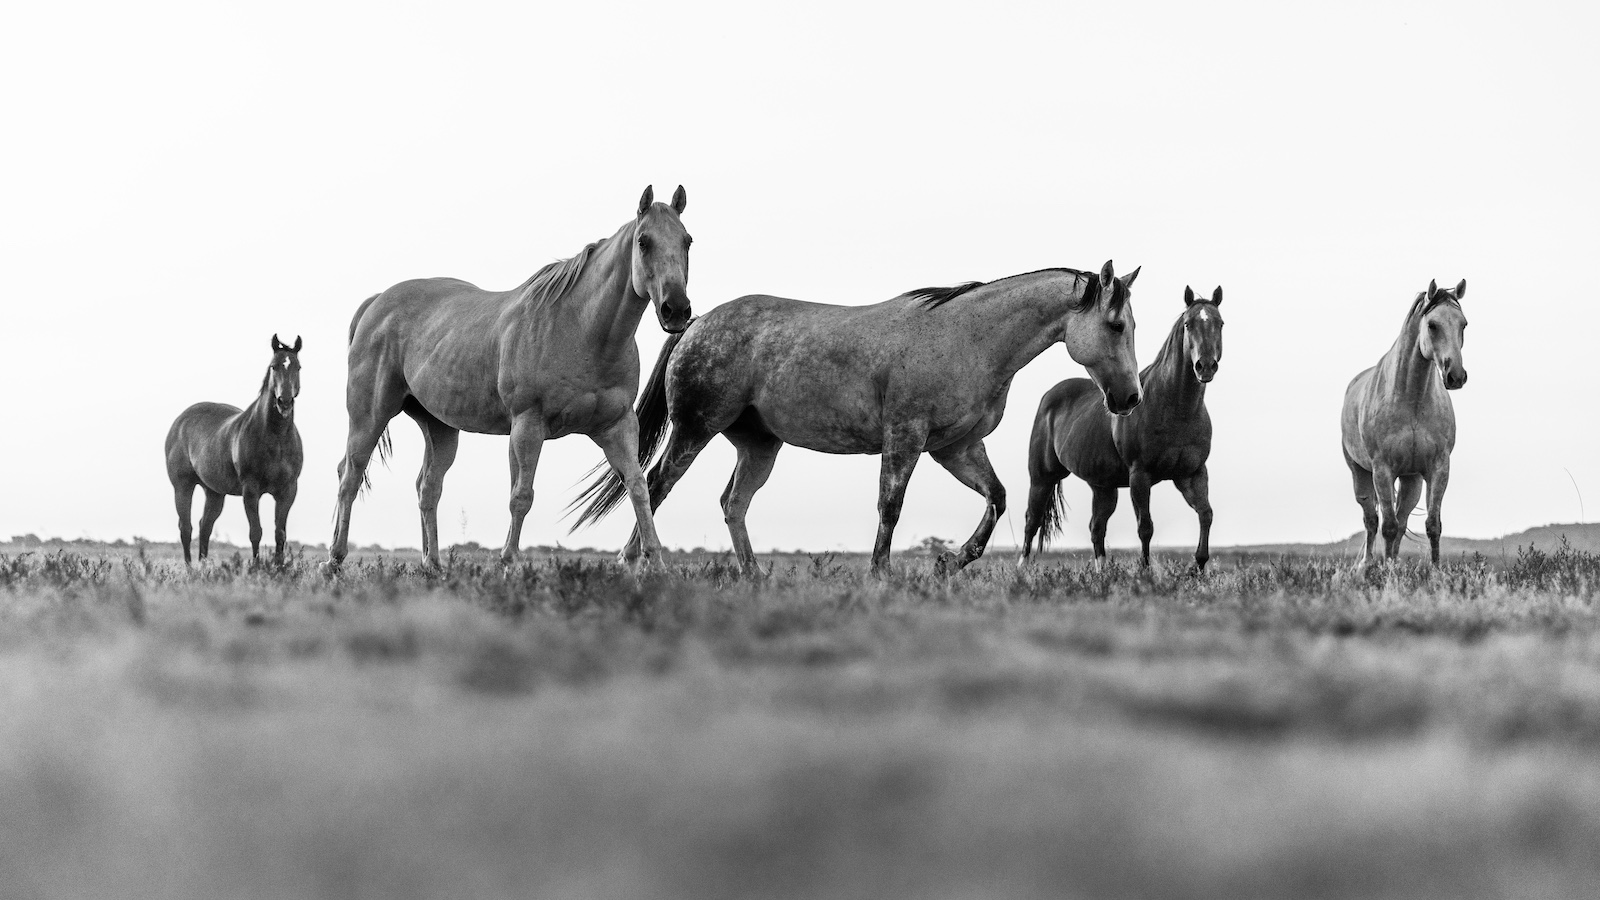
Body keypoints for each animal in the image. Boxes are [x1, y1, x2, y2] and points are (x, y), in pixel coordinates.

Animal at [165, 335, 304, 564]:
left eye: (298, 367)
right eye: (273, 366)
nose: (284, 402)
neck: (276, 437)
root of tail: (180, 421)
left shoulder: (288, 491)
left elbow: (280, 534)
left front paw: (278, 567)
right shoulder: (251, 490)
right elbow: (256, 532)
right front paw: (256, 567)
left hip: (214, 492)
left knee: (205, 526)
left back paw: (204, 566)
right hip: (183, 486)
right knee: (186, 528)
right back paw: (190, 568)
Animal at [328, 185, 693, 569]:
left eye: (687, 240)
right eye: (643, 241)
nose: (676, 309)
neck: (582, 329)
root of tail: (375, 303)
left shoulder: (617, 428)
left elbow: (638, 487)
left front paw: (655, 564)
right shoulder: (528, 426)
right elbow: (522, 495)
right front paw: (510, 562)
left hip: (439, 427)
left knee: (428, 488)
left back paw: (433, 566)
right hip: (370, 416)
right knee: (350, 475)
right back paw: (334, 560)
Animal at [570, 260, 1144, 576]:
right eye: (1116, 325)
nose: (1129, 398)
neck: (968, 338)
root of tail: (695, 323)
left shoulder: (955, 448)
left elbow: (997, 499)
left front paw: (948, 562)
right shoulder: (906, 437)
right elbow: (890, 506)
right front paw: (880, 574)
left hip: (758, 444)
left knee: (733, 504)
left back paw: (753, 579)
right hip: (695, 430)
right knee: (654, 487)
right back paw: (635, 567)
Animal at [1020, 286, 1224, 571]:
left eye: (1220, 323)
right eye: (1188, 324)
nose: (1205, 366)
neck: (1174, 407)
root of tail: (1050, 396)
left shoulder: (1192, 474)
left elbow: (1206, 514)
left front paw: (1199, 566)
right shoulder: (1140, 475)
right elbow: (1145, 526)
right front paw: (1145, 571)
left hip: (1102, 487)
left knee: (1096, 528)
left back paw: (1102, 572)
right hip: (1042, 477)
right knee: (1032, 520)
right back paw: (1022, 570)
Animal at [1341, 279, 1467, 565]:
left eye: (1463, 324)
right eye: (1432, 325)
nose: (1456, 376)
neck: (1412, 399)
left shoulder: (1438, 468)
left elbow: (1432, 525)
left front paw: (1435, 571)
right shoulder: (1382, 470)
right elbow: (1386, 527)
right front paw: (1387, 571)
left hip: (1412, 481)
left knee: (1401, 521)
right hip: (1361, 475)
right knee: (1371, 521)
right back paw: (1368, 565)